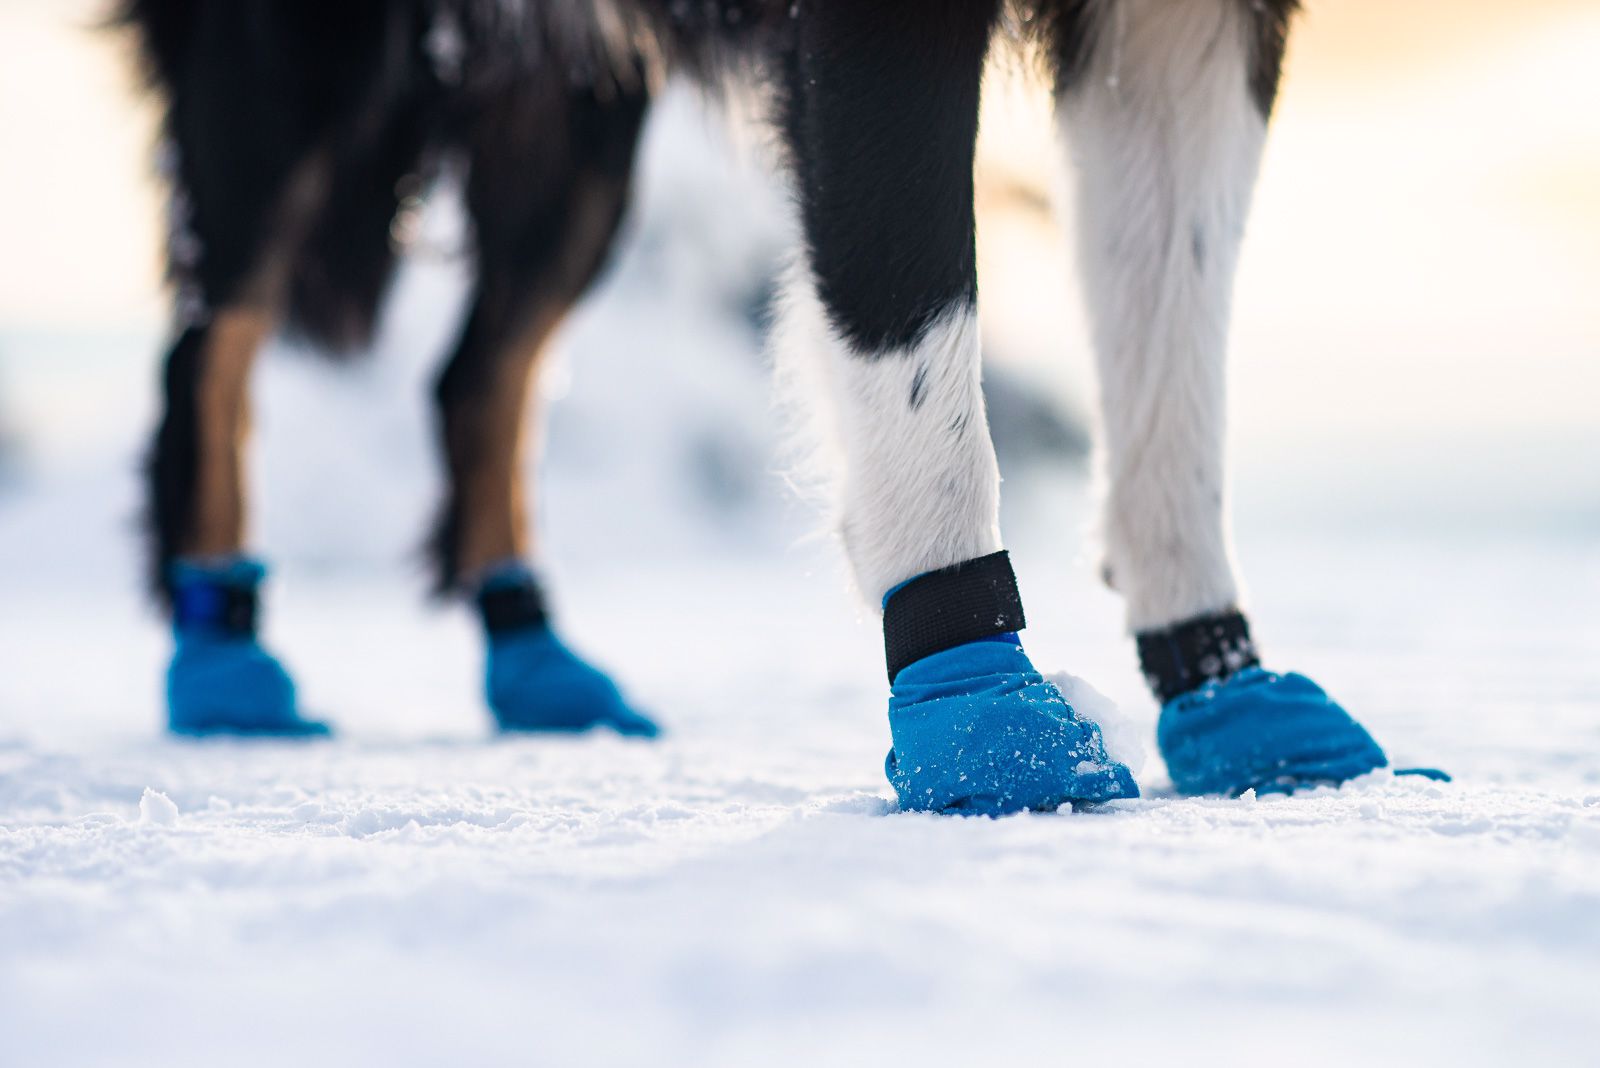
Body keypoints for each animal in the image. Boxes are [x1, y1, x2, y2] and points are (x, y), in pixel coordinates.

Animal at [118, 0, 1414, 812]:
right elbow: (914, 348)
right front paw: (982, 719)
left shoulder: (1186, 29)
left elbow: (1172, 375)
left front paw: (1227, 692)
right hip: (303, 69)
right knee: (210, 349)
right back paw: (222, 658)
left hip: (576, 112)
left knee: (476, 380)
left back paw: (534, 659)